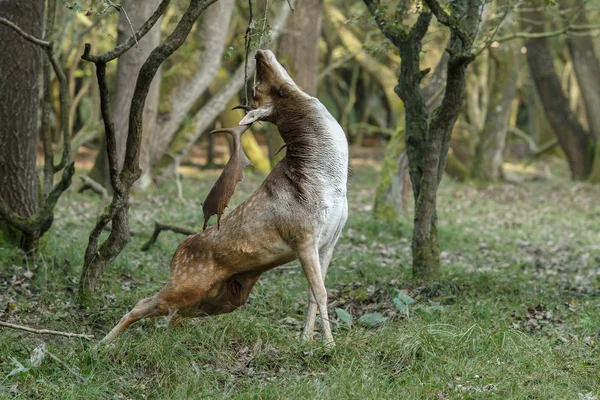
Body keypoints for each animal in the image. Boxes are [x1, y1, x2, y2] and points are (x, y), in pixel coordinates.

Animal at [101, 50, 350, 346]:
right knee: (145, 303)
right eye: (258, 88)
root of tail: (176, 254)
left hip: (224, 298)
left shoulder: (330, 240)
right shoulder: (303, 235)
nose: (259, 53)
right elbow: (322, 293)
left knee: (175, 314)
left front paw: (306, 340)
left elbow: (315, 293)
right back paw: (102, 343)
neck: (332, 182)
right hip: (187, 282)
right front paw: (330, 345)